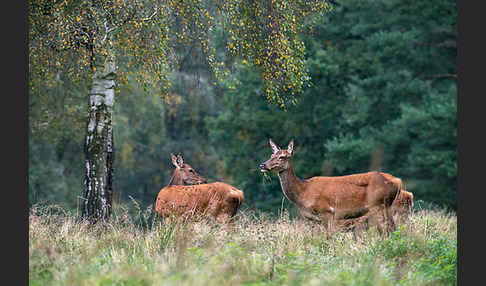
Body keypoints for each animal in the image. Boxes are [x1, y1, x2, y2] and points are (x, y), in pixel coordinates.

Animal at [260, 139, 400, 232]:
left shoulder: (327, 211)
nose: (263, 165)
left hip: (377, 205)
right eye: (271, 155)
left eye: (282, 157)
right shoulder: (314, 219)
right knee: (394, 228)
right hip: (387, 206)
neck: (303, 192)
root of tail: (397, 181)